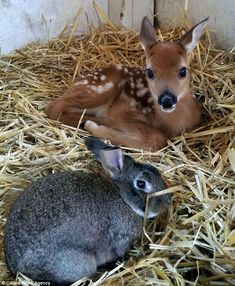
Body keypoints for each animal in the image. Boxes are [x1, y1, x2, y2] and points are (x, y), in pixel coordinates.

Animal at [3, 136, 171, 284]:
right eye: (141, 184)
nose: (167, 202)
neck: (122, 198)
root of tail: (17, 269)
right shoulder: (121, 240)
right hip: (82, 263)